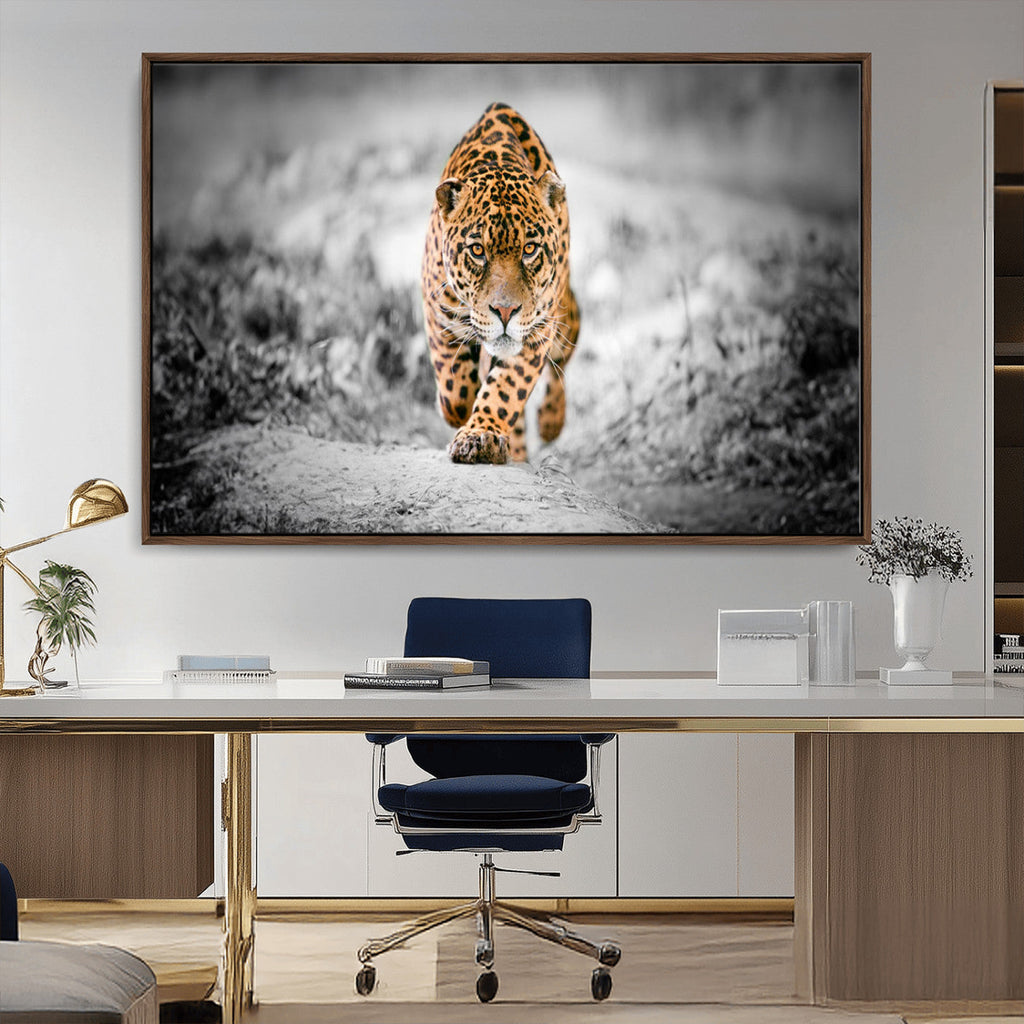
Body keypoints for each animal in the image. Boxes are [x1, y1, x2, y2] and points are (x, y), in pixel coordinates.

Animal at [421, 102, 580, 464]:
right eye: (478, 251)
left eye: (530, 249)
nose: (505, 312)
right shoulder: (437, 311)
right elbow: (454, 388)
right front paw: (459, 411)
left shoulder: (537, 330)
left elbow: (506, 389)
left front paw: (480, 435)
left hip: (565, 316)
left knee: (561, 364)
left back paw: (550, 422)